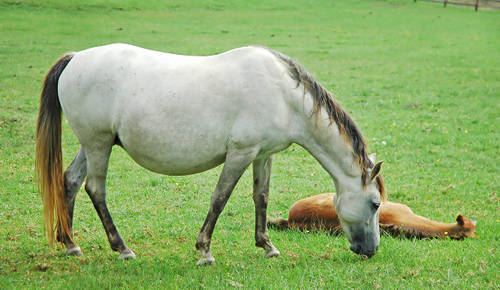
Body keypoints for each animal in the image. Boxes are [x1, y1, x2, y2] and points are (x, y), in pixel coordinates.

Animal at [35, 43, 384, 266]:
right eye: (375, 204)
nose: (371, 250)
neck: (283, 94)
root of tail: (75, 58)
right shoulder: (241, 153)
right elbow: (220, 198)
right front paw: (205, 251)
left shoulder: (263, 154)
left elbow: (261, 197)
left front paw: (267, 246)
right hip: (98, 143)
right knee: (96, 189)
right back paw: (122, 249)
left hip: (94, 144)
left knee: (70, 181)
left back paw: (70, 243)